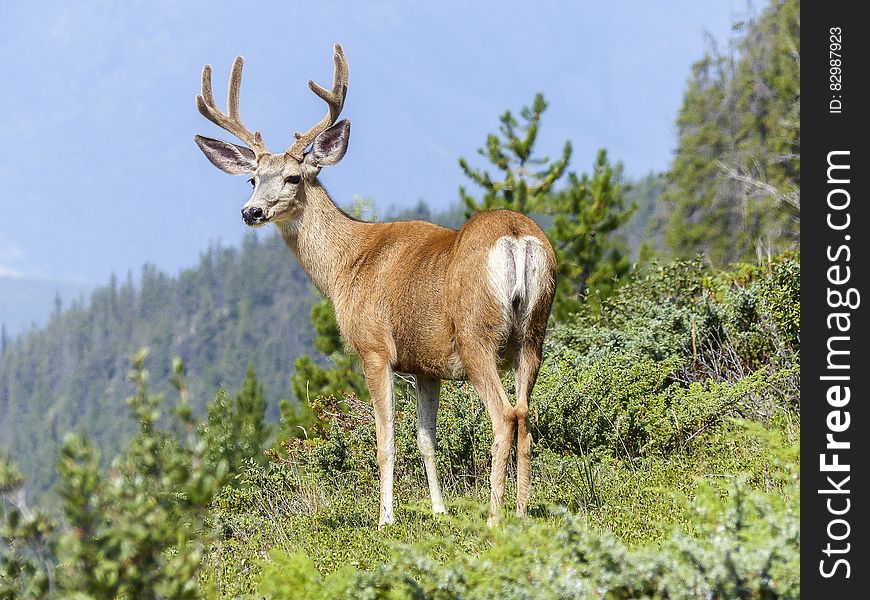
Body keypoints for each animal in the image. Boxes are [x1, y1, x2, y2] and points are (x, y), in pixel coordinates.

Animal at [193, 44, 556, 528]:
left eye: (293, 177)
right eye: (253, 178)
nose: (250, 211)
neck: (347, 266)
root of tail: (517, 238)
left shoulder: (374, 348)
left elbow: (386, 442)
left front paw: (385, 518)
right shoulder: (425, 365)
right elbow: (426, 440)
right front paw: (439, 511)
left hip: (477, 333)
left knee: (504, 415)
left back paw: (495, 517)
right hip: (533, 331)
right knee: (526, 415)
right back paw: (522, 510)